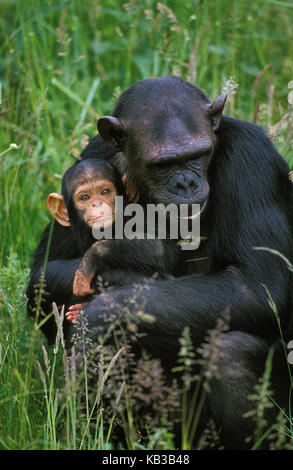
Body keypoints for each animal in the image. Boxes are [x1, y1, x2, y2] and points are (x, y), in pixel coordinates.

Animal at [26, 76, 290, 448]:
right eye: (162, 165)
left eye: (197, 156)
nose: (186, 182)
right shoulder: (91, 155)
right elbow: (43, 272)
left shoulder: (252, 159)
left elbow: (258, 283)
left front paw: (102, 313)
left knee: (231, 352)